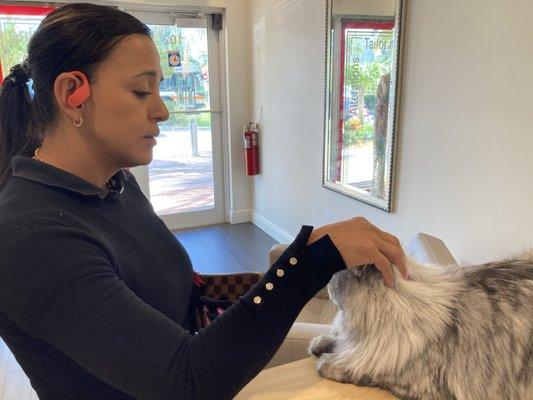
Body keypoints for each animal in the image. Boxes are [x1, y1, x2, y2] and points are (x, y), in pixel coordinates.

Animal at [308, 256, 532, 400]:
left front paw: (326, 362)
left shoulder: (414, 380)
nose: (326, 284)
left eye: (334, 277)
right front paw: (318, 344)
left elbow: (356, 367)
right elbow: (336, 339)